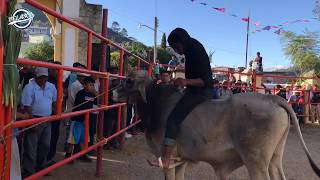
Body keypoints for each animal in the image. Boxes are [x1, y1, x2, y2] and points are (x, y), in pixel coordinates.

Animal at [112, 71, 320, 179]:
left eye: (129, 81)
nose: (113, 92)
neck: (157, 104)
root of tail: (272, 98)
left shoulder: (168, 160)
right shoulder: (182, 160)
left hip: (256, 162)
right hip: (275, 158)